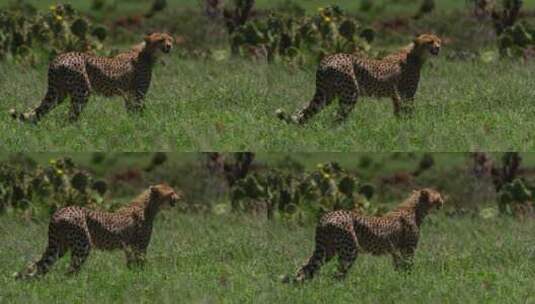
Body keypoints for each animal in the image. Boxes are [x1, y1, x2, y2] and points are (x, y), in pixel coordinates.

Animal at [8, 32, 175, 123]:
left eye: (170, 39)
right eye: (161, 40)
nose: (169, 46)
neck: (146, 52)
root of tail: (58, 58)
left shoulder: (129, 93)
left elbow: (130, 111)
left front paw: (132, 124)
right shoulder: (138, 93)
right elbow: (138, 110)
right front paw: (141, 124)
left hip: (59, 93)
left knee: (39, 111)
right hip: (82, 91)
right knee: (70, 116)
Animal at [14, 183, 182, 280]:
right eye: (171, 192)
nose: (179, 197)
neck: (149, 205)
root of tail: (59, 211)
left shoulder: (128, 247)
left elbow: (131, 264)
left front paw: (132, 277)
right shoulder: (139, 247)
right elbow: (141, 264)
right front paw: (144, 278)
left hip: (59, 246)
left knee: (38, 264)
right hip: (82, 245)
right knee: (69, 271)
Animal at [276, 33, 444, 123]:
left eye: (438, 40)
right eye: (430, 41)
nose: (438, 47)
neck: (415, 53)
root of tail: (327, 59)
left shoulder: (395, 95)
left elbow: (398, 112)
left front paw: (399, 126)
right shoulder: (406, 94)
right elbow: (408, 112)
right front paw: (409, 126)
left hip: (326, 94)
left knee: (304, 110)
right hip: (350, 93)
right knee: (336, 117)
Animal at [282, 188, 446, 282]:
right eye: (438, 196)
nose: (443, 201)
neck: (416, 208)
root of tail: (326, 215)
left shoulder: (396, 250)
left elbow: (398, 267)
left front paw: (400, 280)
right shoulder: (408, 250)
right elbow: (408, 266)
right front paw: (410, 281)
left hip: (327, 250)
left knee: (306, 267)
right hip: (350, 250)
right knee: (337, 274)